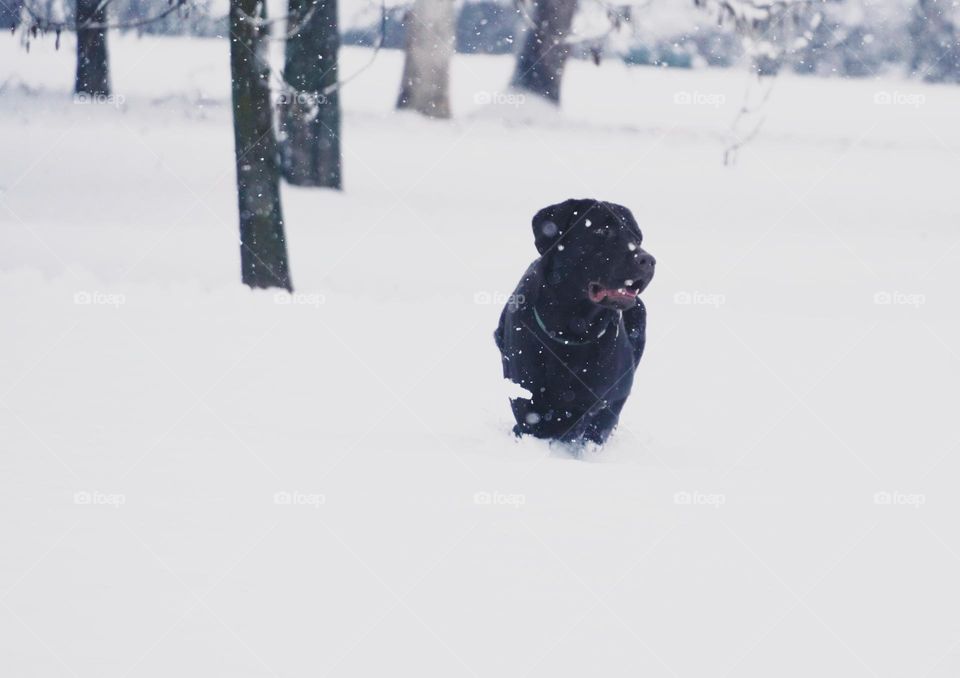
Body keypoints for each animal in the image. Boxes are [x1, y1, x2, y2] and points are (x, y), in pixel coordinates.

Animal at [496, 199, 652, 446]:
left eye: (637, 239)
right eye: (603, 230)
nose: (648, 260)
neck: (572, 330)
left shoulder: (602, 398)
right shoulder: (524, 389)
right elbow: (531, 417)